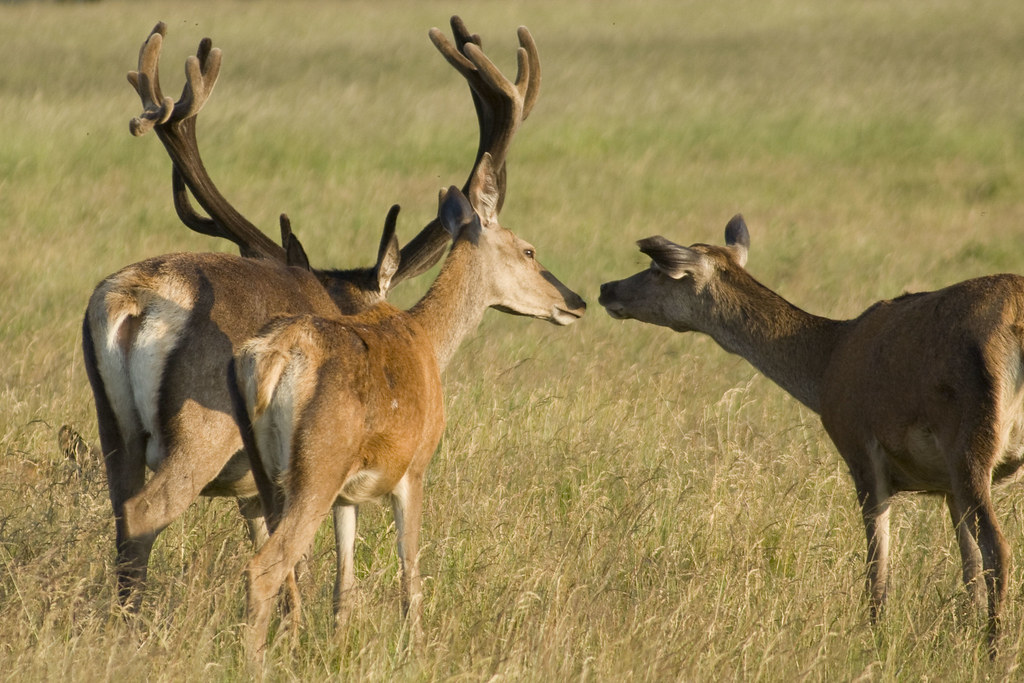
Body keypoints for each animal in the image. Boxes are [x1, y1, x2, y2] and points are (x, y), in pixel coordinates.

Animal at [82, 17, 540, 614]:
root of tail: (132, 300)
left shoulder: (256, 487)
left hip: (113, 425)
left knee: (120, 515)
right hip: (200, 430)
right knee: (146, 515)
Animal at [231, 178, 585, 658]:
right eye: (528, 250)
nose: (576, 302)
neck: (430, 341)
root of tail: (275, 358)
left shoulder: (347, 494)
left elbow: (346, 581)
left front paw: (340, 644)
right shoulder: (415, 467)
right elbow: (410, 570)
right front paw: (415, 647)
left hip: (268, 470)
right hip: (318, 464)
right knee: (264, 567)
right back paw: (254, 661)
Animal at [598, 215, 1024, 649]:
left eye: (657, 270)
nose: (606, 288)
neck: (823, 372)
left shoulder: (859, 447)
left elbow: (878, 565)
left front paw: (874, 636)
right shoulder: (944, 485)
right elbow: (968, 568)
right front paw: (961, 628)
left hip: (970, 442)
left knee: (1000, 549)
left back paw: (994, 646)